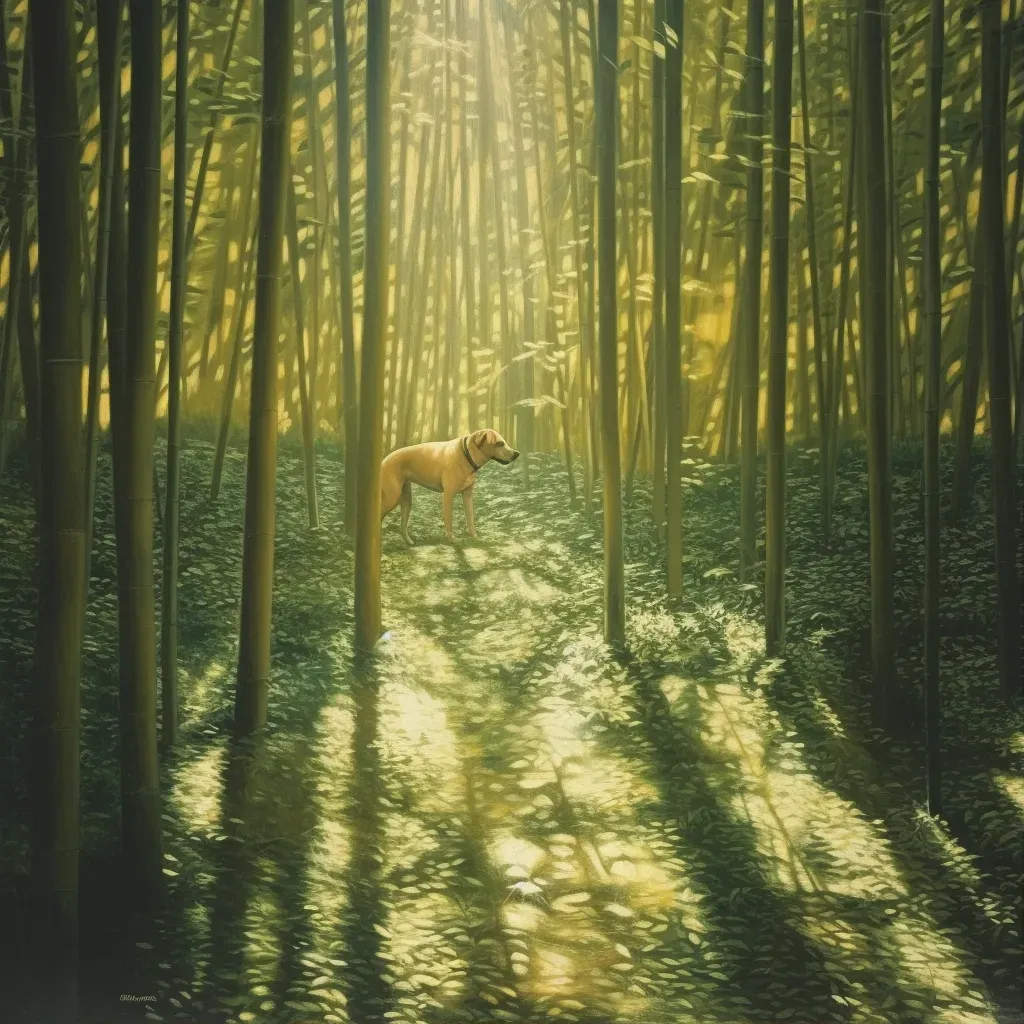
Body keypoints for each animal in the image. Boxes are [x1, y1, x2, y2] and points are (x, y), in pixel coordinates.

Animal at [380, 428, 520, 544]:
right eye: (499, 443)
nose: (517, 453)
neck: (466, 454)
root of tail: (384, 460)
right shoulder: (448, 495)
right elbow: (449, 520)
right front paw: (452, 539)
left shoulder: (468, 496)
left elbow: (470, 519)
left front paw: (474, 537)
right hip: (392, 498)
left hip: (406, 500)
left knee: (402, 526)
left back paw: (409, 542)